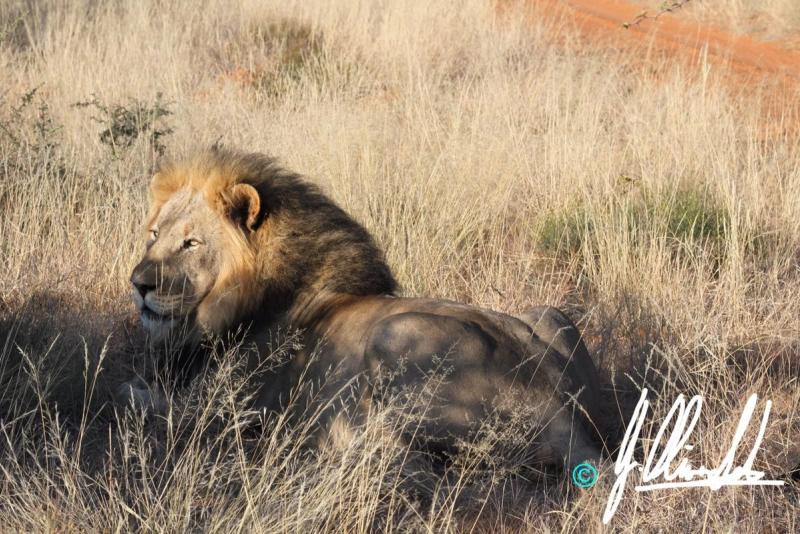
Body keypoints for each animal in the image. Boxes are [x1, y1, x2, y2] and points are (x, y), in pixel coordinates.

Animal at [127, 147, 605, 472]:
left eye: (191, 243)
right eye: (153, 234)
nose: (139, 284)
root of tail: (566, 416)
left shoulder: (219, 407)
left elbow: (135, 397)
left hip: (396, 333)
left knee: (402, 457)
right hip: (551, 314)